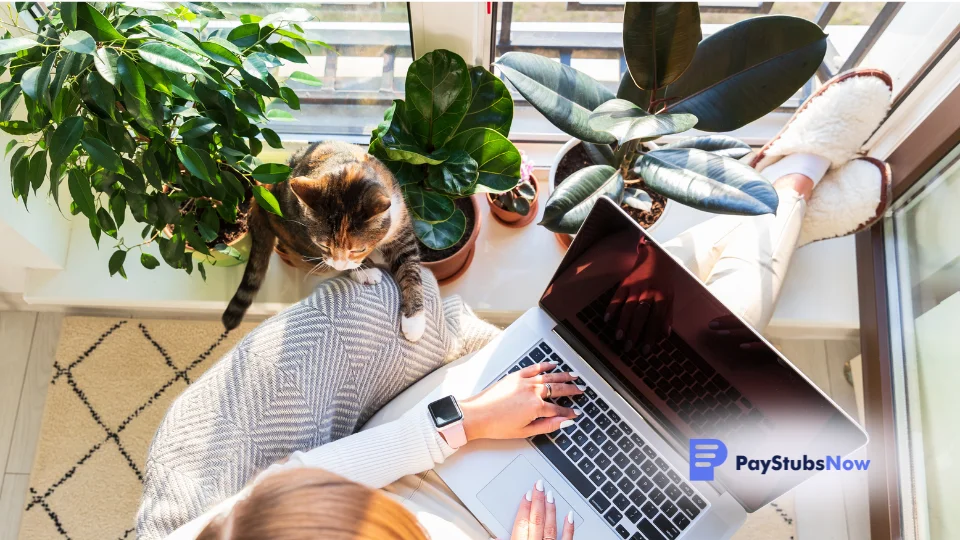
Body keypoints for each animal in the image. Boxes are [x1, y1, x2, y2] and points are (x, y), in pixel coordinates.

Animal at [223, 140, 426, 342]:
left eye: (358, 249)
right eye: (324, 245)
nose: (339, 263)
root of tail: (262, 192)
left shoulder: (401, 228)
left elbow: (410, 267)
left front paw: (414, 319)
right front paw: (363, 271)